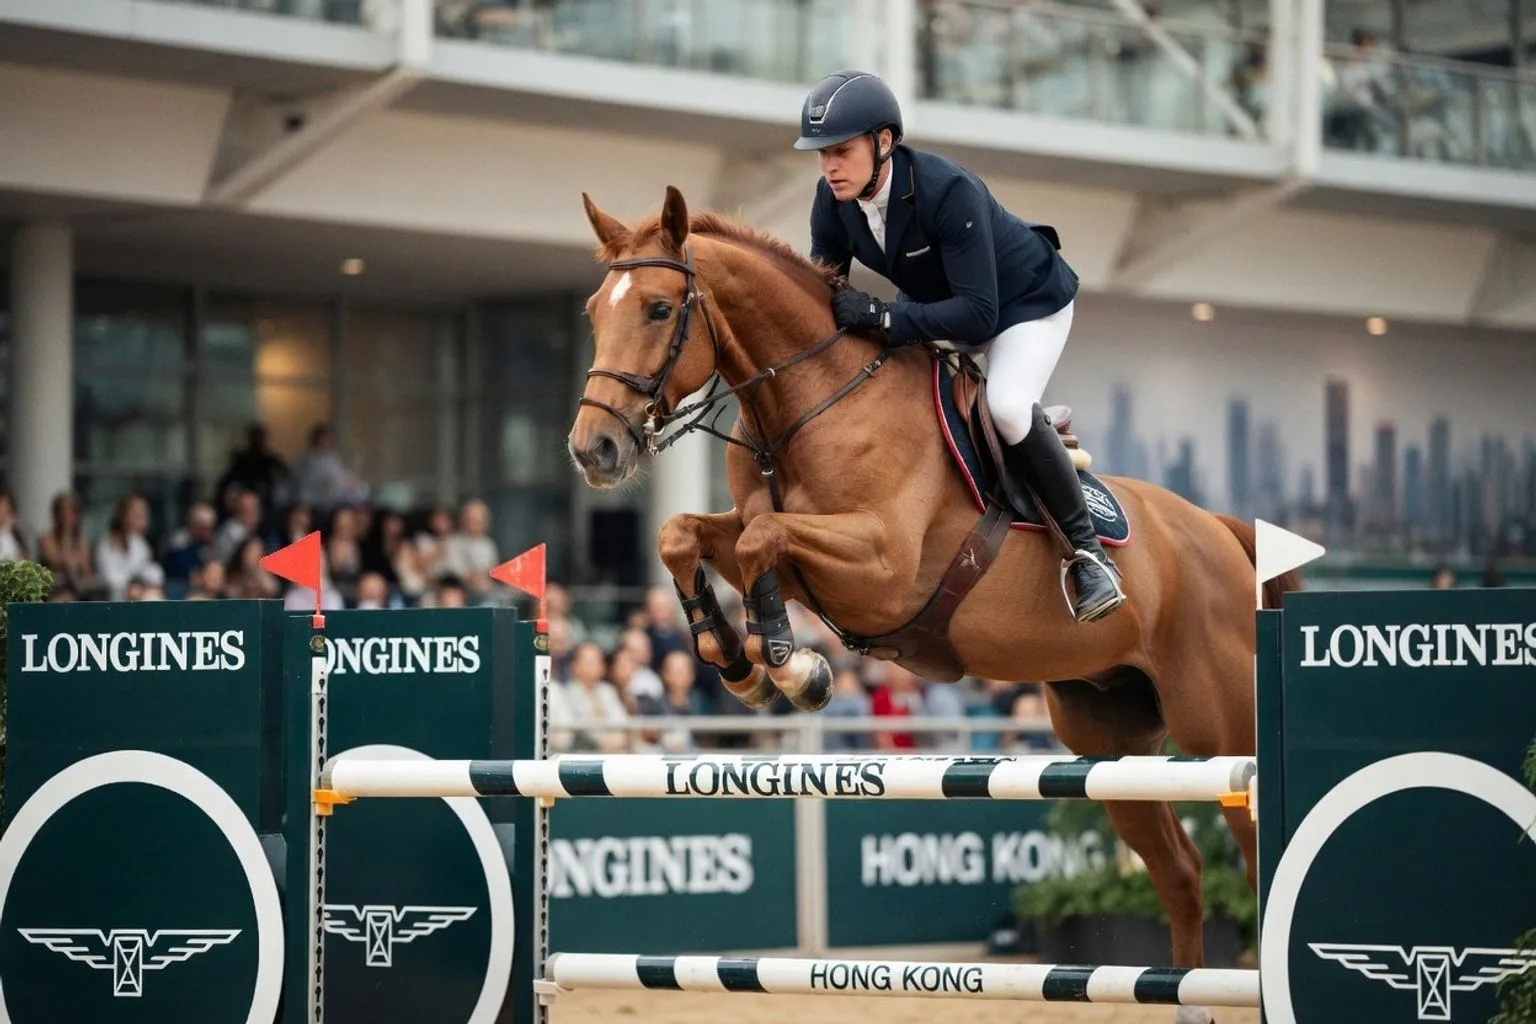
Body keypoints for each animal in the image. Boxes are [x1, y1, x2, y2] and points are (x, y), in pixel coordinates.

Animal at [567, 186, 1298, 1022]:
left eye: (659, 308)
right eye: (592, 311)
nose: (592, 450)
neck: (809, 404)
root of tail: (1220, 532)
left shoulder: (881, 565)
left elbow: (760, 541)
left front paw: (788, 664)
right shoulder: (795, 549)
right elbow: (688, 535)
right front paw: (739, 661)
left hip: (1220, 732)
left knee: (1252, 858)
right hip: (1110, 740)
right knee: (1179, 870)